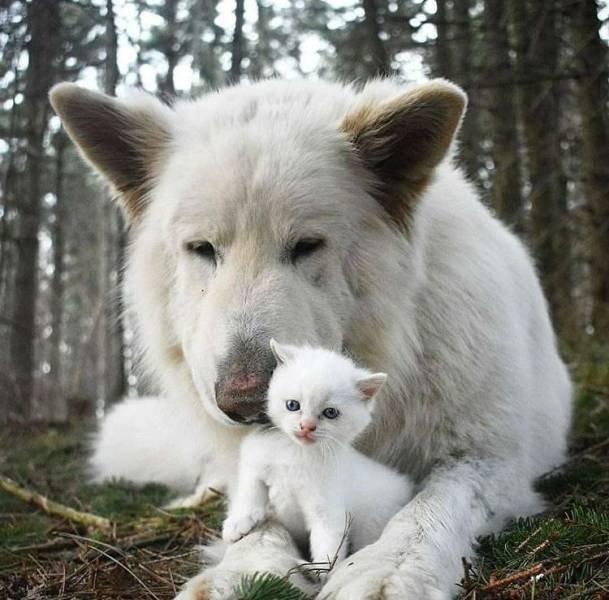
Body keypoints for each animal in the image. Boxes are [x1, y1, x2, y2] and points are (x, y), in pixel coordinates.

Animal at [221, 340, 410, 568]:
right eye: (292, 405)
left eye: (331, 413)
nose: (307, 427)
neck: (296, 452)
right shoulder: (254, 459)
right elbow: (249, 491)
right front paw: (238, 522)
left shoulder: (328, 507)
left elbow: (327, 538)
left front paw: (324, 569)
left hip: (374, 519)